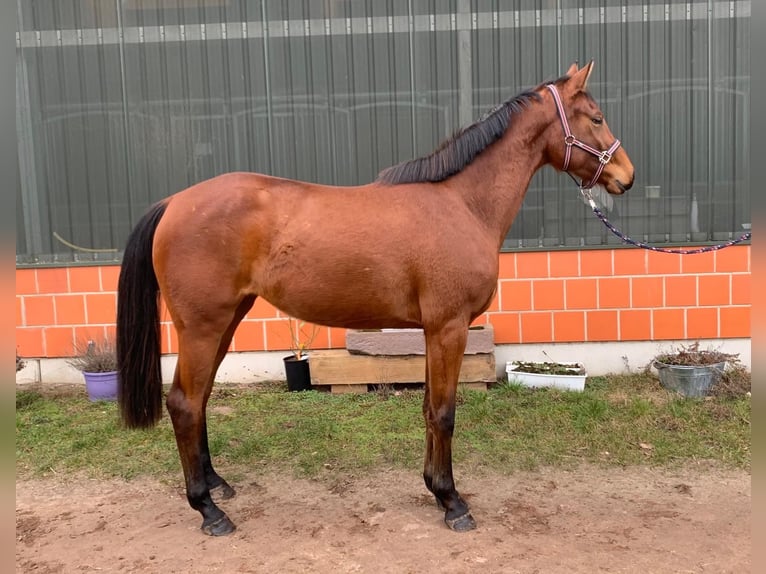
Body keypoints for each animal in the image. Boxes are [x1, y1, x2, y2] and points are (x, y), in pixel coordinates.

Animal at [117, 60, 640, 536]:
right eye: (595, 117)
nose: (627, 176)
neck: (462, 203)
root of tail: (174, 203)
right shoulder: (449, 327)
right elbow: (445, 412)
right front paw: (452, 502)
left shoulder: (434, 331)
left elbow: (429, 407)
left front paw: (434, 488)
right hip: (203, 327)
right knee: (185, 403)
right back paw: (208, 510)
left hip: (224, 323)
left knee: (200, 398)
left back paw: (217, 484)